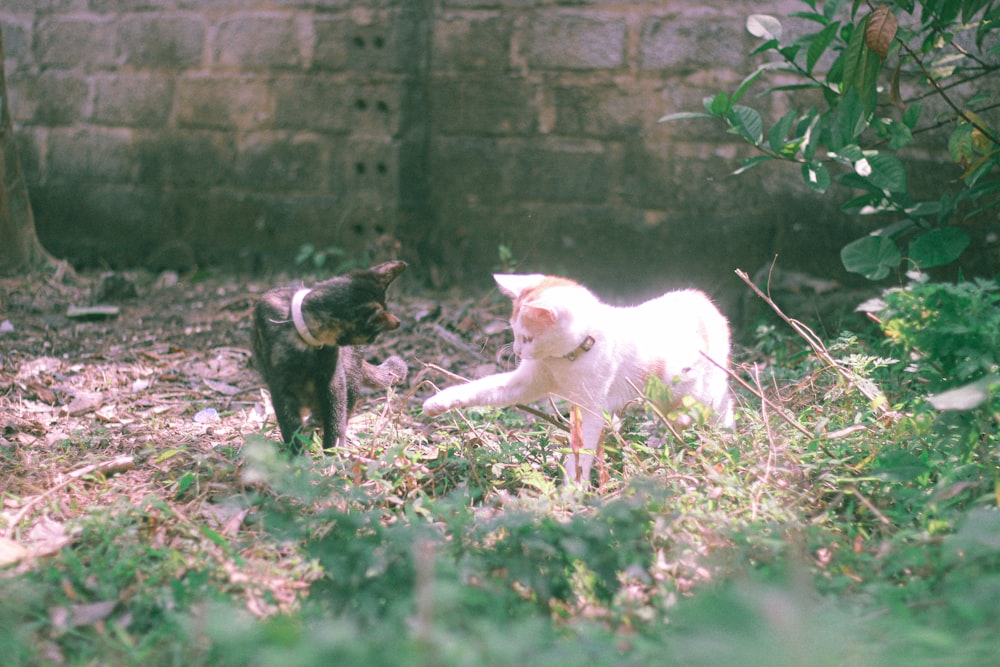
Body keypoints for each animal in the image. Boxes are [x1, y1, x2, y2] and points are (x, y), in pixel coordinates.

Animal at [252, 260, 408, 454]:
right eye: (374, 335)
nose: (374, 340)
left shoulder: (333, 380)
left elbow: (336, 416)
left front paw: (334, 451)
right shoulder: (281, 387)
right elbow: (291, 428)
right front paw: (298, 456)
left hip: (351, 379)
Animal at [422, 274, 736, 488]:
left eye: (527, 337)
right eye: (514, 332)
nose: (518, 351)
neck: (565, 359)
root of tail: (699, 297)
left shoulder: (592, 409)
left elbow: (581, 452)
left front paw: (572, 491)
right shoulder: (523, 384)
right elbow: (481, 387)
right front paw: (438, 402)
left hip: (704, 394)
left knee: (724, 411)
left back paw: (727, 444)